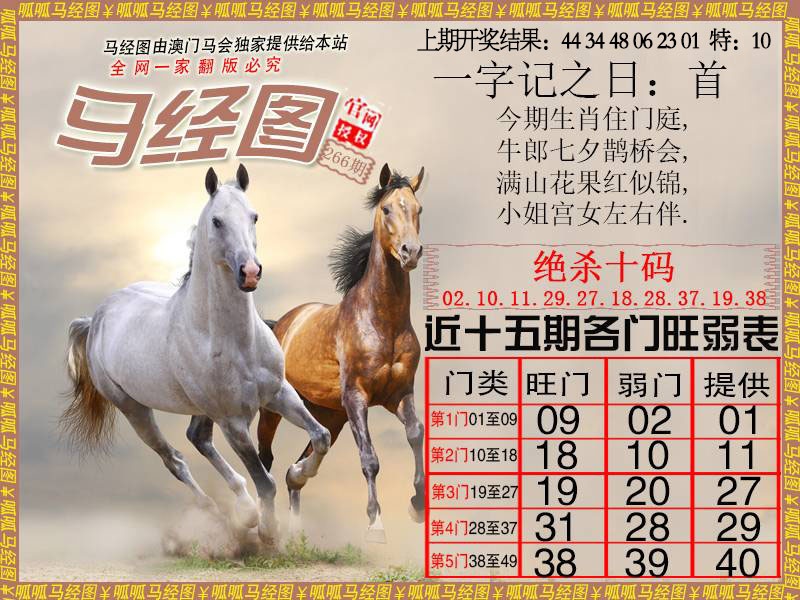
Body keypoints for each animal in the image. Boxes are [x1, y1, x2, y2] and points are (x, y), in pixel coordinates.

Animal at [63, 165, 331, 543]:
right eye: (217, 221)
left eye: (254, 216)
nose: (250, 272)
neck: (235, 341)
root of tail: (96, 317)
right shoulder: (233, 422)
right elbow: (265, 480)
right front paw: (268, 531)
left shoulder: (278, 393)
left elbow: (320, 437)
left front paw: (298, 474)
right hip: (134, 409)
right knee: (174, 459)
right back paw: (225, 515)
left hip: (200, 409)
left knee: (197, 438)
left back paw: (243, 509)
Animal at [256, 163, 425, 543]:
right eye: (386, 209)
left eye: (418, 209)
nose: (410, 252)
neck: (382, 321)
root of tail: (280, 324)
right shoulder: (357, 397)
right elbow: (370, 458)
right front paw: (376, 524)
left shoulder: (399, 394)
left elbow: (415, 434)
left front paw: (417, 505)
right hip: (275, 409)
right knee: (265, 458)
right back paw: (264, 524)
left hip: (329, 414)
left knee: (298, 466)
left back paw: (297, 510)